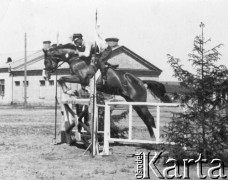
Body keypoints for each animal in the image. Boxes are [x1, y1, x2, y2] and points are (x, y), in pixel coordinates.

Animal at [42, 43, 171, 136]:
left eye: (46, 61)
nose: (47, 75)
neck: (77, 59)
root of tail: (141, 81)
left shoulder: (81, 78)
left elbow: (61, 79)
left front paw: (69, 91)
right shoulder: (80, 80)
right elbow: (62, 79)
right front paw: (71, 91)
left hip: (140, 102)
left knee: (149, 118)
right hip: (134, 103)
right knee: (145, 119)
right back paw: (152, 137)